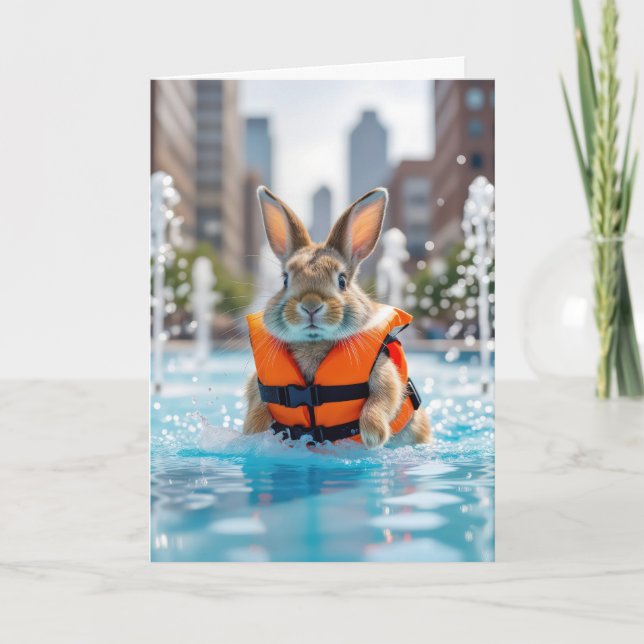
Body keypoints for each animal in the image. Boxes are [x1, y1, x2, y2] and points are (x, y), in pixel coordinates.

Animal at [243, 185, 431, 449]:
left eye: (341, 280)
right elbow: (257, 401)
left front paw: (372, 435)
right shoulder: (258, 385)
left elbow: (384, 396)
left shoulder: (383, 370)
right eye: (285, 280)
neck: (314, 344)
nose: (311, 305)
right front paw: (251, 430)